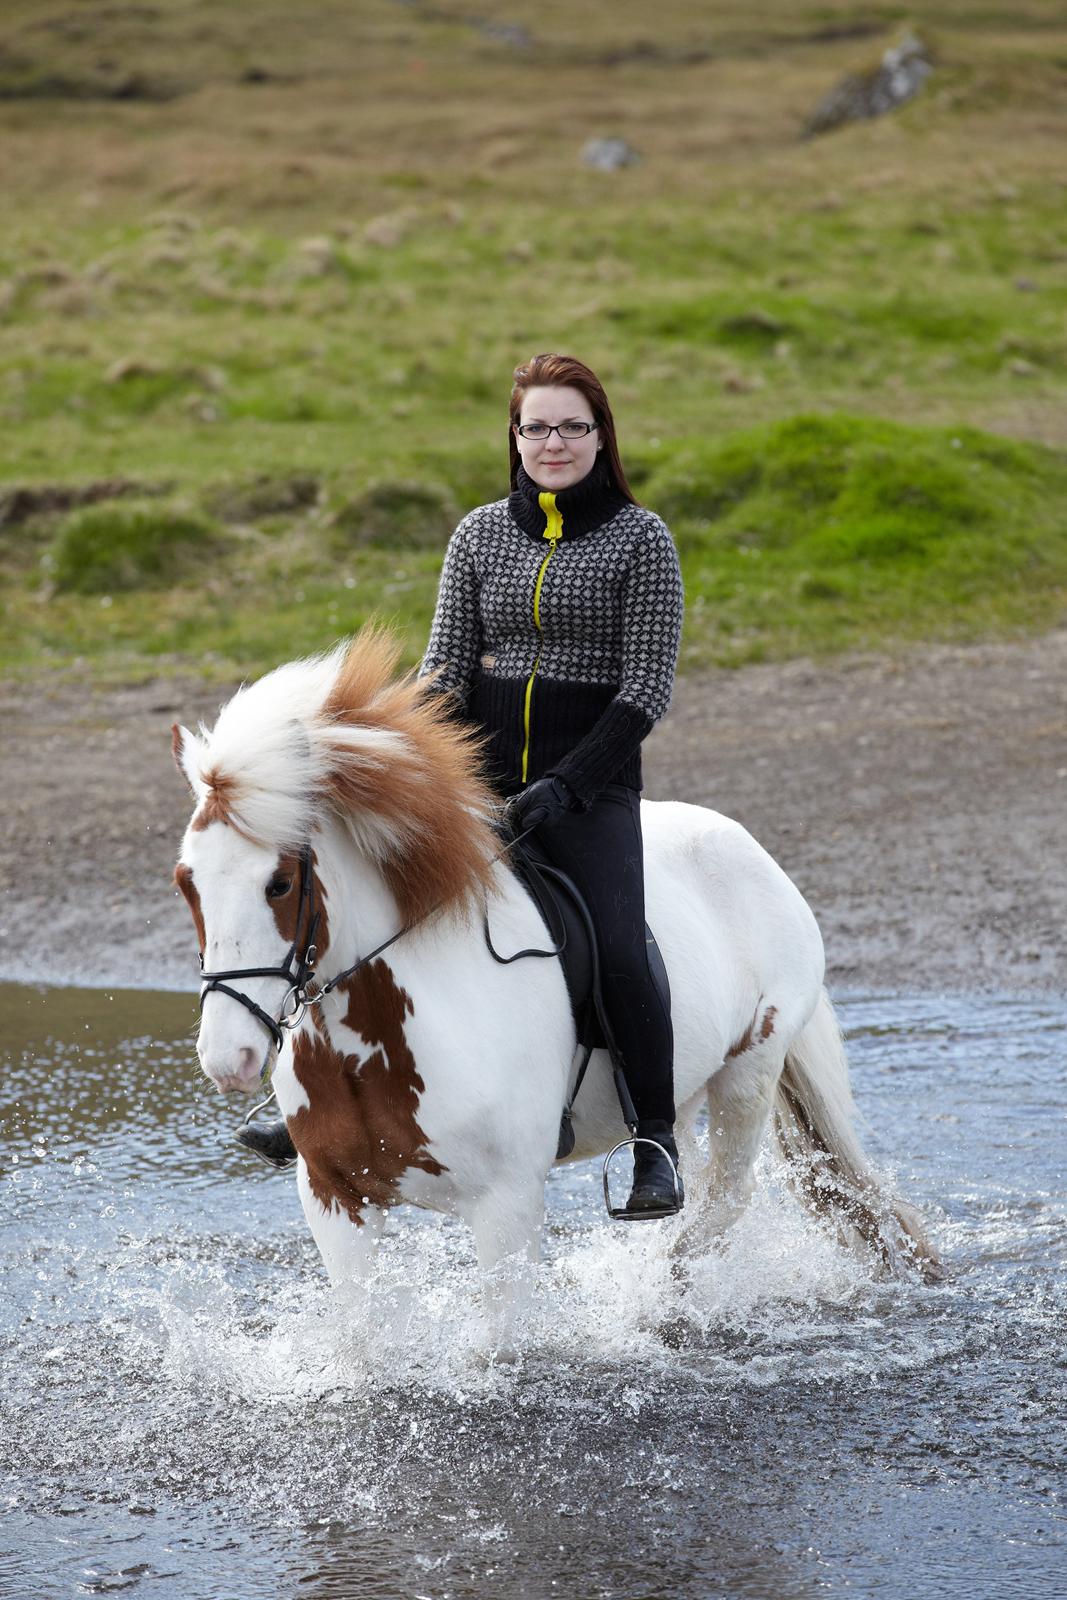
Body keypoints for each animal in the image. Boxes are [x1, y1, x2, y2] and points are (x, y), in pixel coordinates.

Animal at [175, 630, 940, 1344]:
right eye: (186, 882)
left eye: (279, 883)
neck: (390, 1028)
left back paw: (657, 1303)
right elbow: (363, 1346)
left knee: (723, 1200)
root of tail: (748, 846)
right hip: (682, 1087)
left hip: (749, 1069)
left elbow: (497, 1349)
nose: (228, 1058)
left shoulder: (506, 1204)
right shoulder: (335, 1197)